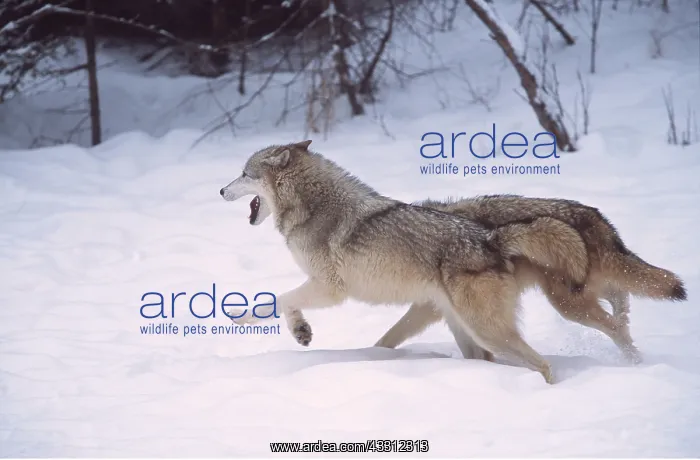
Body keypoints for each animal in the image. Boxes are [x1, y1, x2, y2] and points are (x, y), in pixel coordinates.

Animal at [219, 140, 592, 384]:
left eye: (243, 173)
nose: (221, 191)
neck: (311, 205)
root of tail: (491, 240)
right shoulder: (320, 287)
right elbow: (283, 304)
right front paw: (293, 330)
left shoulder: (329, 289)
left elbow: (277, 300)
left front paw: (246, 320)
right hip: (464, 328)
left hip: (488, 332)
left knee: (543, 366)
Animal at [374, 195, 688, 363]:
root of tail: (593, 215)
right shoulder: (440, 308)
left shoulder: (434, 306)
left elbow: (389, 336)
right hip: (585, 293)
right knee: (622, 304)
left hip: (568, 305)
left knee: (616, 326)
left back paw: (635, 363)